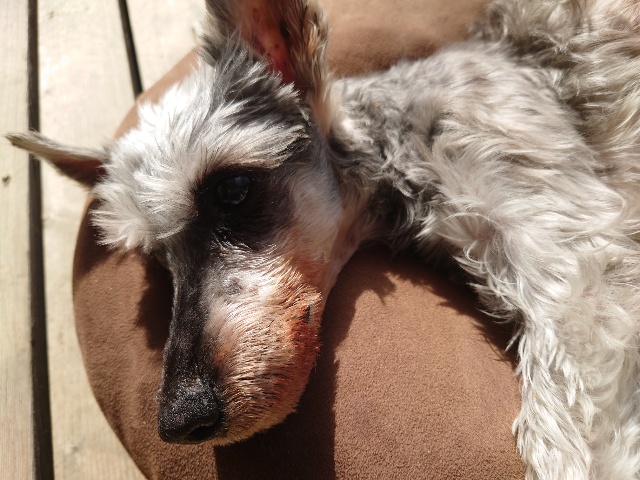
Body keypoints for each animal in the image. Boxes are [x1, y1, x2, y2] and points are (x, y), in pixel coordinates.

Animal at [8, 0, 640, 477]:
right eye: (158, 258)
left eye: (233, 189)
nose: (181, 420)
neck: (395, 140)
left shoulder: (572, 270)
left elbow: (566, 435)